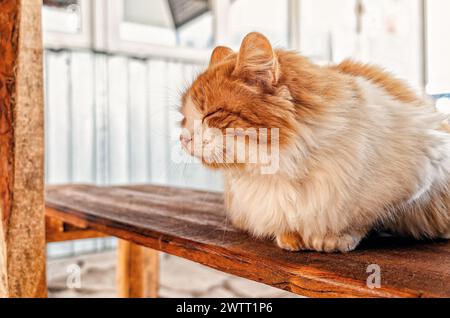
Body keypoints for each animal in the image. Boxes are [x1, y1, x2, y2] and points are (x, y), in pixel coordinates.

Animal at [178, 31, 450, 251]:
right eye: (185, 118)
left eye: (211, 114)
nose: (183, 137)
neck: (282, 169)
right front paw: (290, 237)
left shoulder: (424, 171)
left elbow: (361, 219)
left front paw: (333, 238)